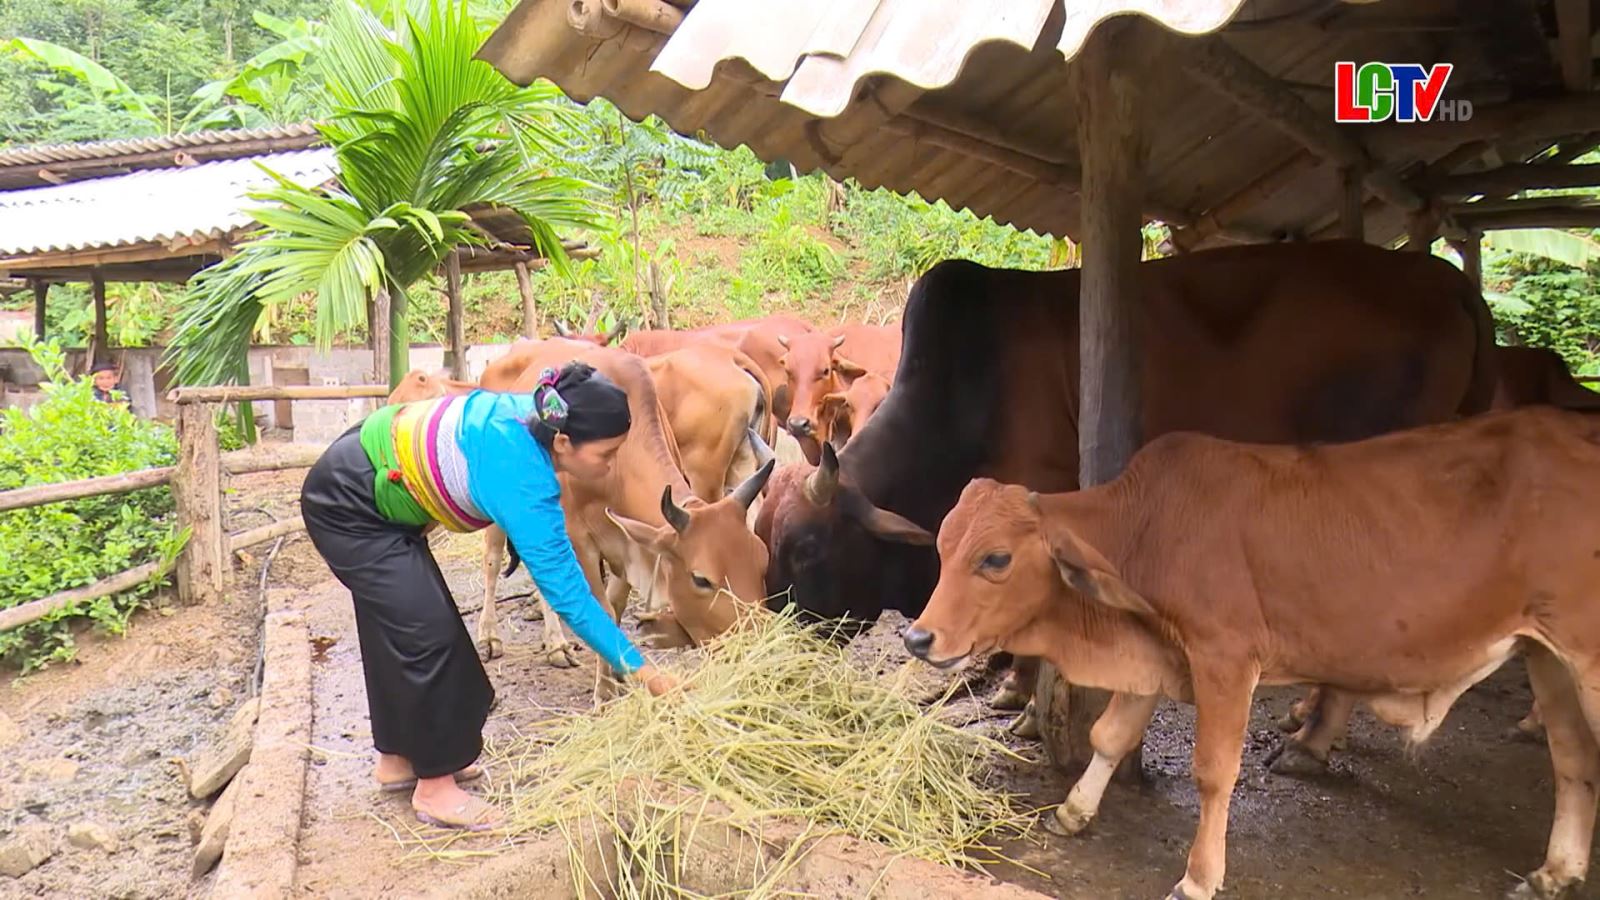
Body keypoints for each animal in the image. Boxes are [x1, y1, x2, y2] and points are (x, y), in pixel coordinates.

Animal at [908, 405, 1600, 896]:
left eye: (996, 558)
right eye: (942, 544)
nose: (918, 638)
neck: (1147, 528)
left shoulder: (1224, 657)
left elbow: (1214, 772)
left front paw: (1197, 878)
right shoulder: (1161, 650)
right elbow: (1111, 735)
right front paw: (1074, 813)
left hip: (1585, 659)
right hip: (1548, 657)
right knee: (1573, 760)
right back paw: (1554, 872)